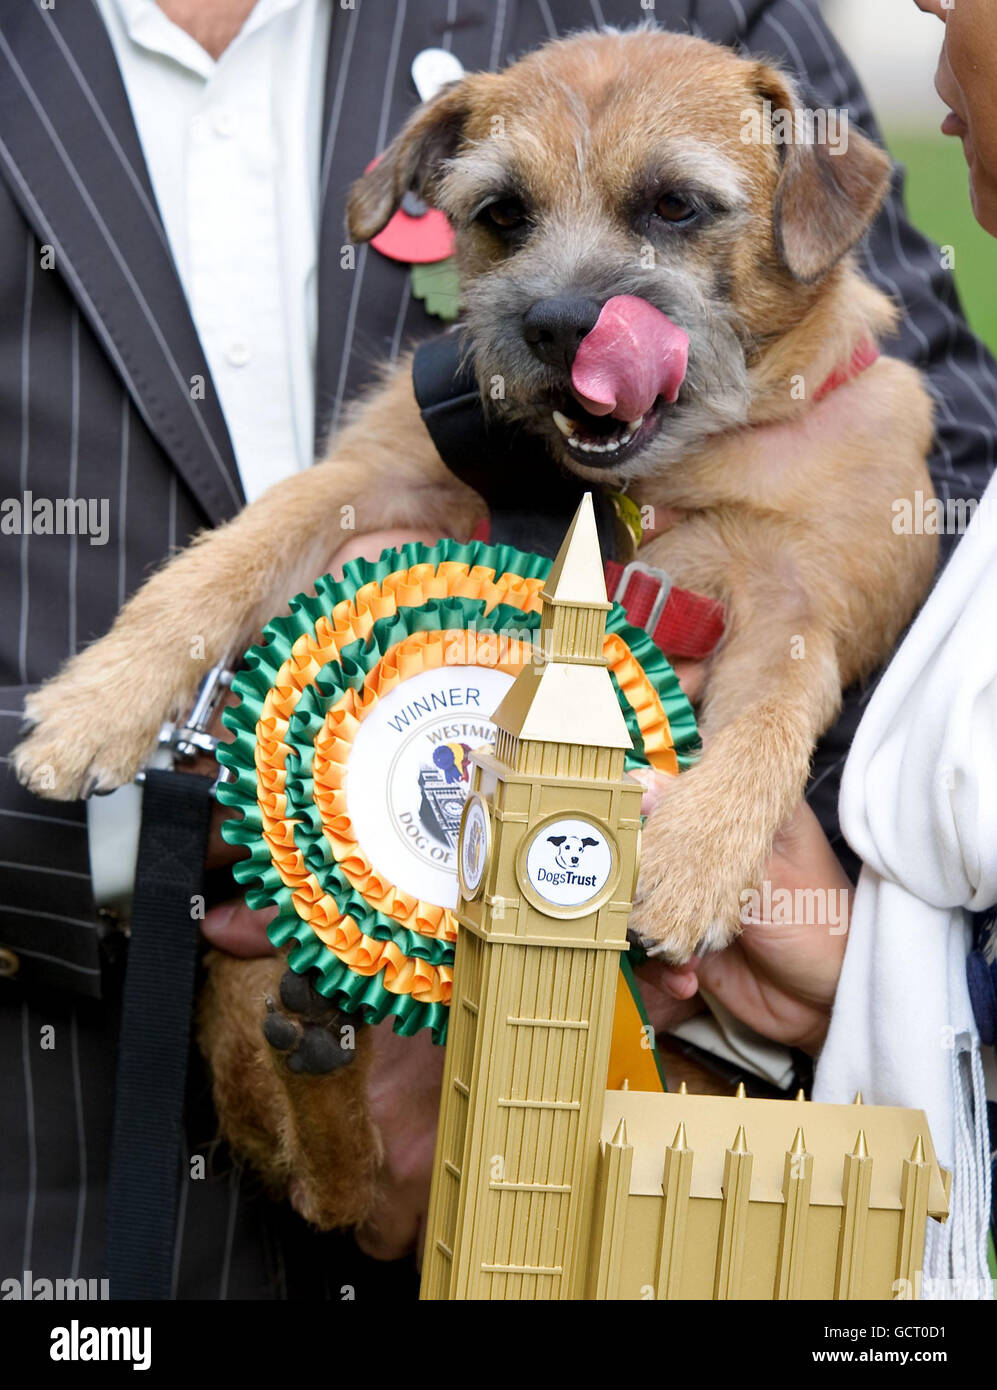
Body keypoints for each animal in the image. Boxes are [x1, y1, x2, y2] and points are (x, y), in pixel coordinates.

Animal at [11, 29, 939, 1228]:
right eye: (502, 212)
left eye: (676, 205)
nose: (556, 324)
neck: (648, 491)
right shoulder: (371, 475)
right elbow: (230, 554)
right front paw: (100, 700)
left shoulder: (799, 606)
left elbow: (774, 717)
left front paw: (694, 861)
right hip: (241, 998)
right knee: (325, 1180)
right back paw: (321, 1043)